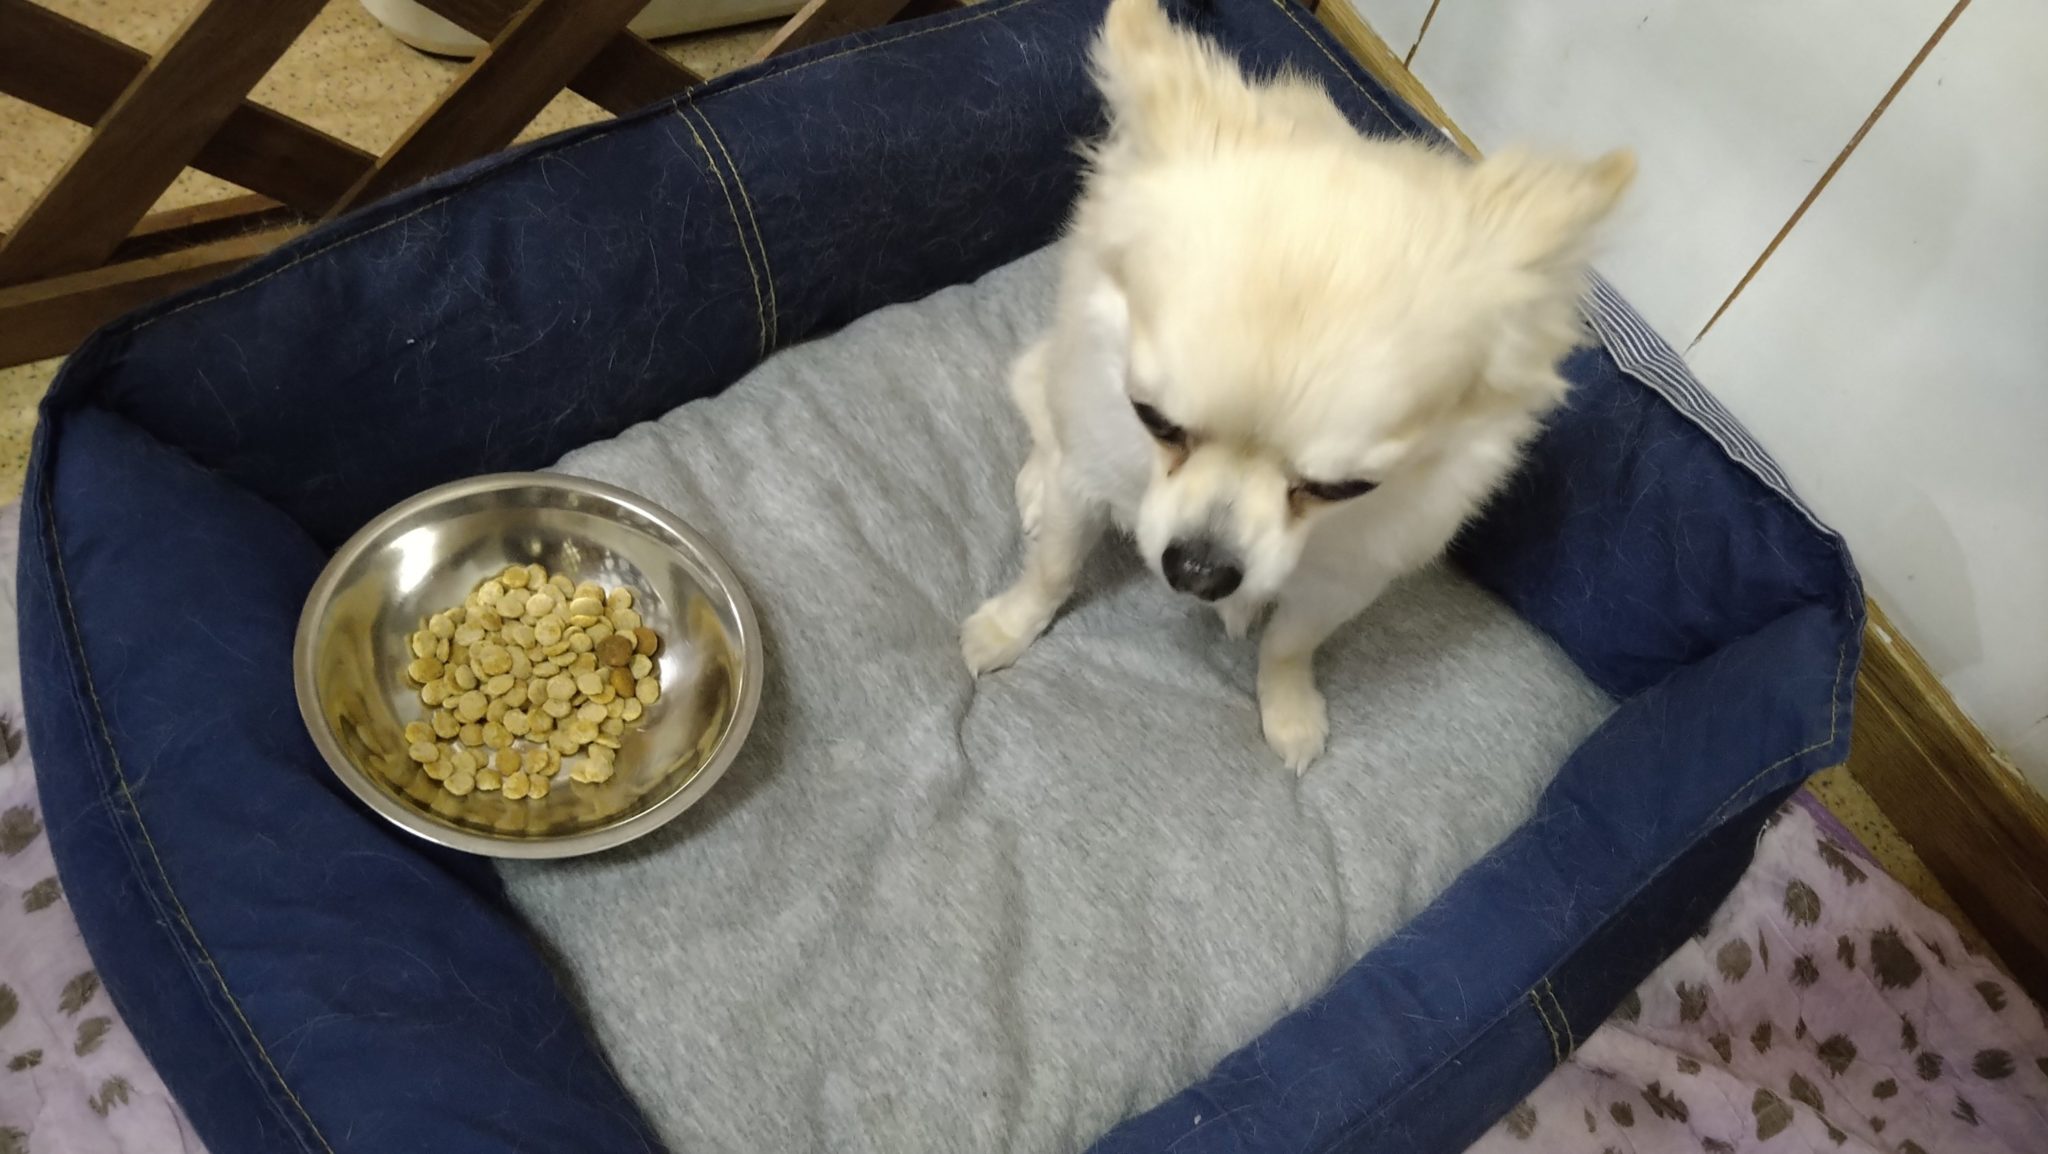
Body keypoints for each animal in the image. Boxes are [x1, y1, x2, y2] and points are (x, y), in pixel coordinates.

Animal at [962, 0, 1633, 772]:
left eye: (1342, 490)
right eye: (1154, 421)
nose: (1199, 568)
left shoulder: (1350, 576)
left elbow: (1291, 644)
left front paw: (1287, 708)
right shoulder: (1091, 470)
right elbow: (1053, 568)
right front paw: (1009, 626)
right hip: (1052, 377)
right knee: (1043, 427)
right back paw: (1033, 489)